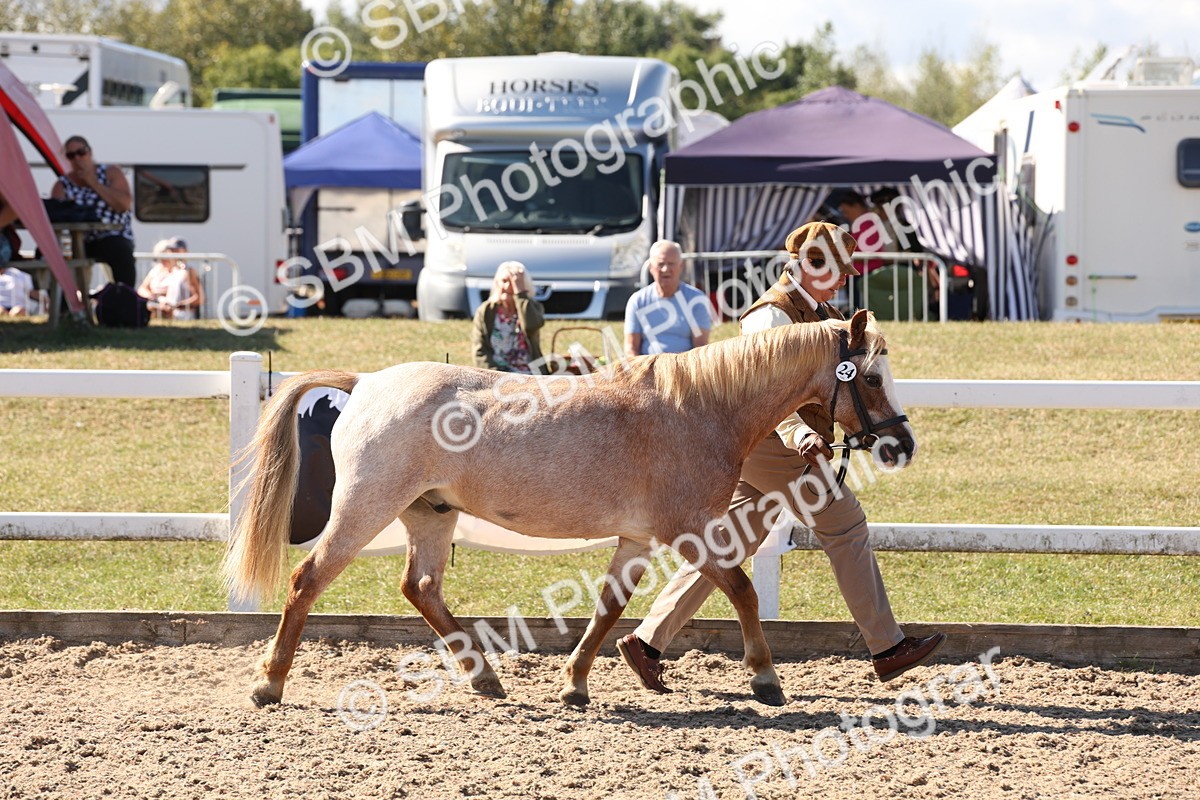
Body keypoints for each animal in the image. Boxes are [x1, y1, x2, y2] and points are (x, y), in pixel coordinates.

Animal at [224, 308, 915, 709]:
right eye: (870, 377)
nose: (900, 444)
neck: (699, 407)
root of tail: (366, 384)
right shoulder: (690, 532)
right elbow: (742, 590)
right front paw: (765, 679)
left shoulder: (639, 539)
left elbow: (609, 610)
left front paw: (575, 683)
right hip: (365, 508)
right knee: (307, 579)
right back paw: (269, 683)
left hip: (431, 513)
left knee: (420, 587)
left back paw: (485, 678)